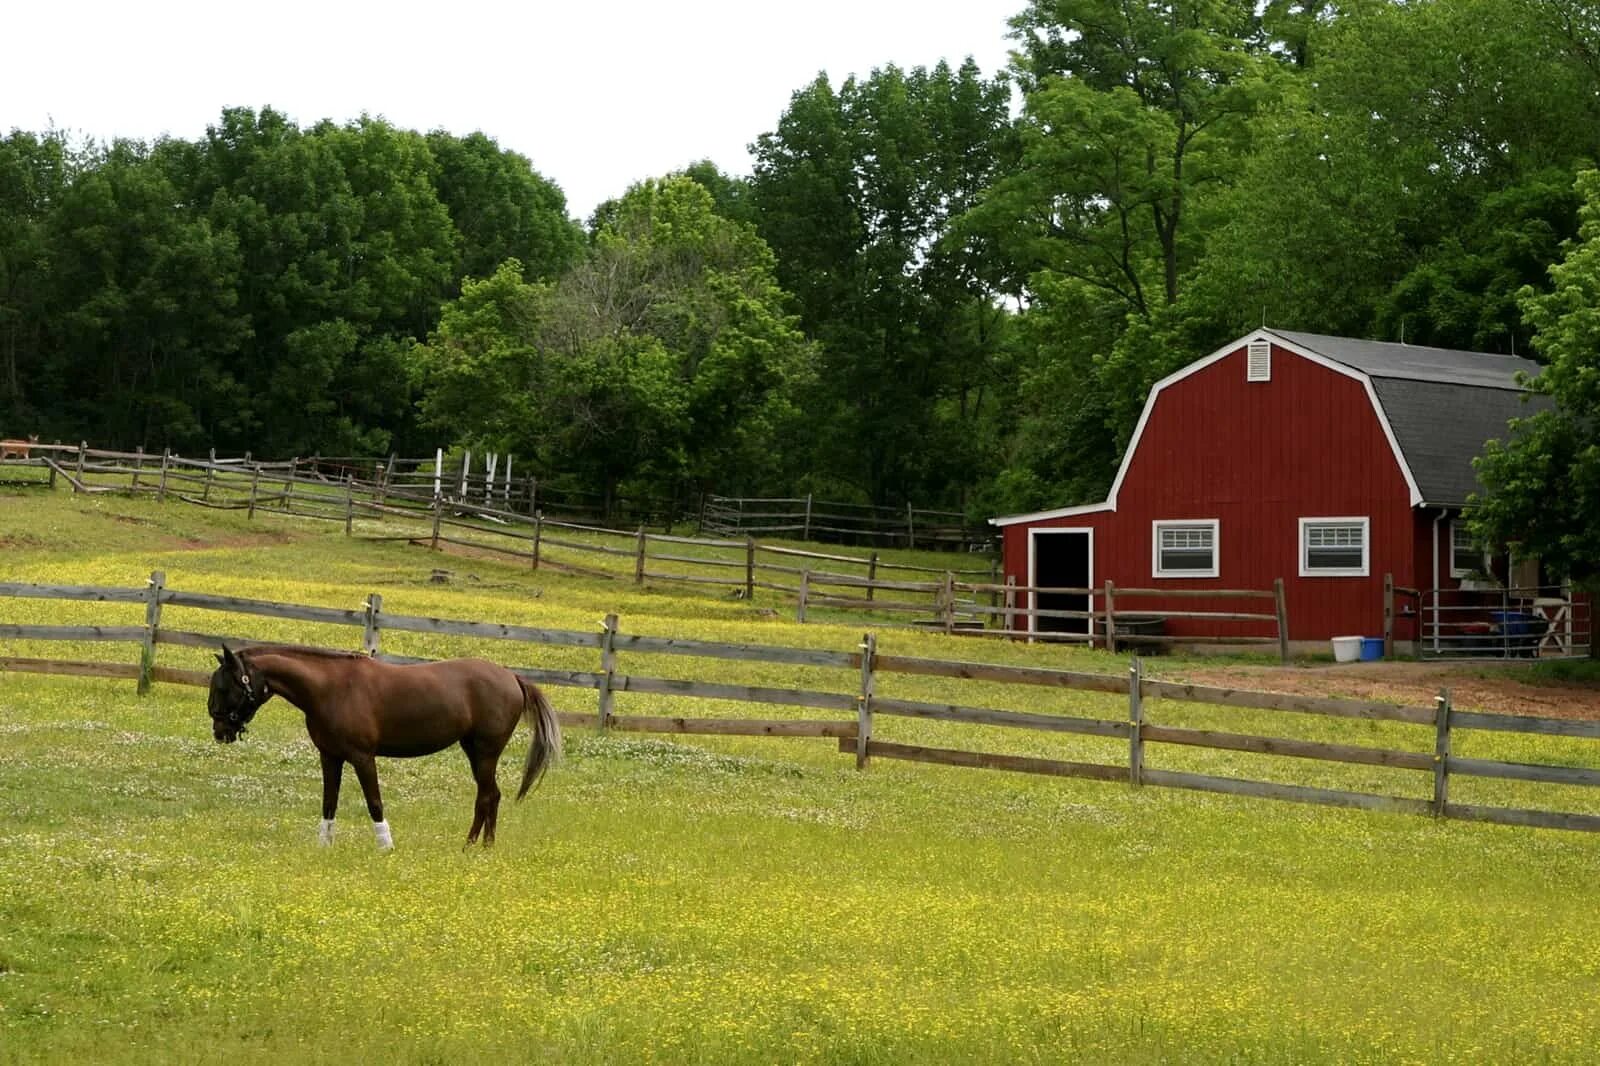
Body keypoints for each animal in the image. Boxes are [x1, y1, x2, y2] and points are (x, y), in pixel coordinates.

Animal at [208, 640, 563, 845]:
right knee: (491, 796)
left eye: (225, 686)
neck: (331, 688)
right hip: (473, 750)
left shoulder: (363, 757)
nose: (219, 730)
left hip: (486, 752)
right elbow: (329, 803)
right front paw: (325, 846)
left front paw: (386, 847)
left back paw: (474, 847)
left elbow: (374, 803)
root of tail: (512, 677)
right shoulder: (330, 756)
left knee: (488, 796)